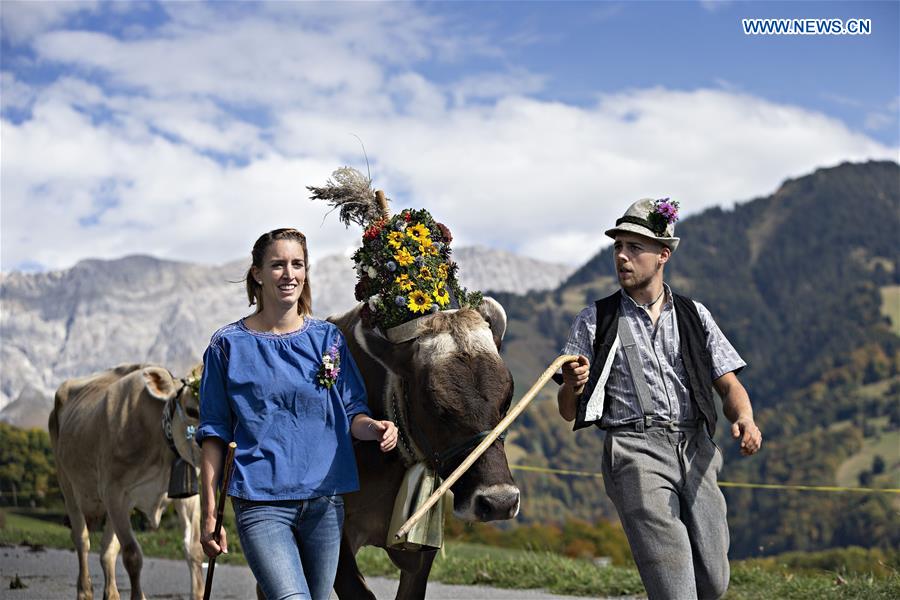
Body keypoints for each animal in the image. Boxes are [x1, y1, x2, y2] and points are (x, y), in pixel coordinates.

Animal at [50, 364, 205, 596]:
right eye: (192, 410)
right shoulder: (114, 492)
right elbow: (132, 555)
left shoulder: (188, 496)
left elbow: (194, 549)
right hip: (68, 484)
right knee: (82, 540)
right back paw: (85, 591)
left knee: (108, 550)